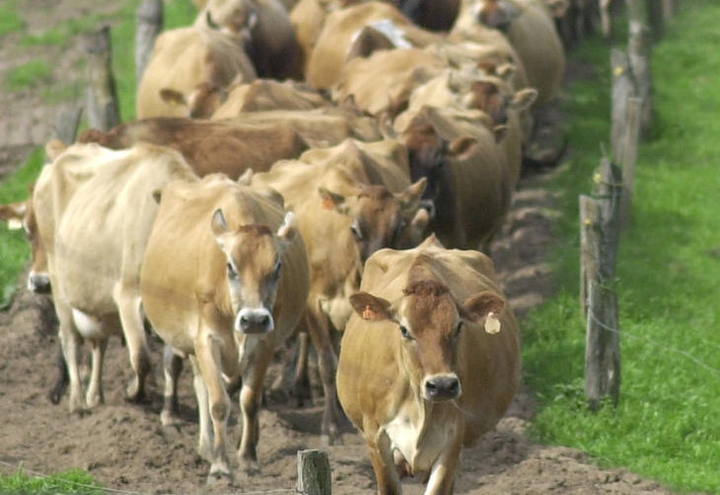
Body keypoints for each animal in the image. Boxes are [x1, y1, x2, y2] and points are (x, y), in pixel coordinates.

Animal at [33, 141, 197, 412]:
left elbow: (174, 358)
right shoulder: (128, 293)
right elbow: (141, 356)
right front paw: (133, 393)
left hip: (99, 302)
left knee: (99, 343)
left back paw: (95, 396)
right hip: (58, 280)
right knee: (70, 340)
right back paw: (77, 401)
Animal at [141, 173, 310, 480]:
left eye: (278, 266)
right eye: (231, 266)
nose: (254, 319)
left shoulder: (264, 343)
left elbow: (250, 401)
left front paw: (248, 458)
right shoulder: (206, 340)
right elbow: (218, 402)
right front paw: (220, 465)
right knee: (202, 388)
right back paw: (207, 448)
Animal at [250, 139, 430, 442]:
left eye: (398, 228)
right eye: (355, 229)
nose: (376, 260)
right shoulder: (314, 304)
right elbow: (327, 362)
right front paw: (331, 425)